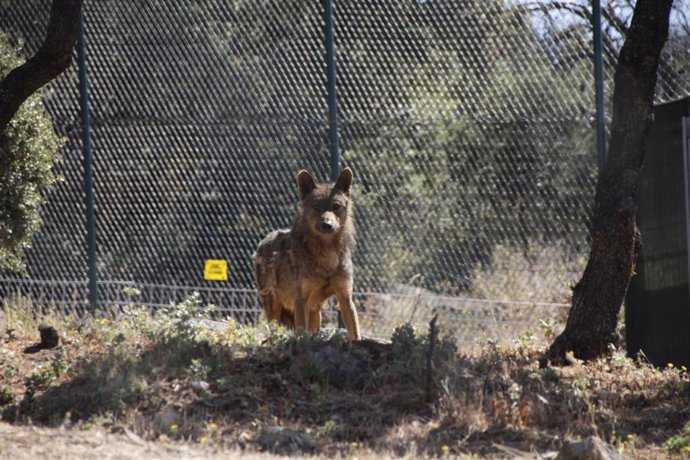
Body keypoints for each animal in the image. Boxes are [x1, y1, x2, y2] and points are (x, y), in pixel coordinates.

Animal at [251, 167, 360, 340]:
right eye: (315, 206)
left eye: (336, 206)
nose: (327, 224)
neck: (327, 255)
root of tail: (263, 241)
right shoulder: (300, 301)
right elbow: (301, 335)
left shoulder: (346, 299)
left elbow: (356, 334)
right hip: (274, 310)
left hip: (316, 314)